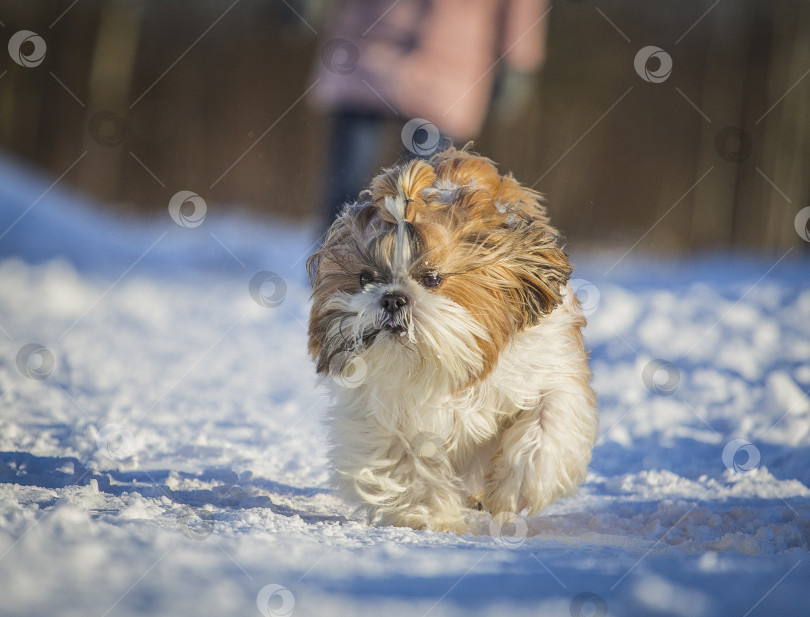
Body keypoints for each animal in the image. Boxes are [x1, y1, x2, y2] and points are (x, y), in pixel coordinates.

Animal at [306, 147, 596, 532]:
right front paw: (426, 513)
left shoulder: (550, 368)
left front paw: (515, 488)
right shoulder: (385, 415)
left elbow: (547, 420)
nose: (393, 298)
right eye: (365, 278)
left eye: (431, 279)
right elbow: (408, 460)